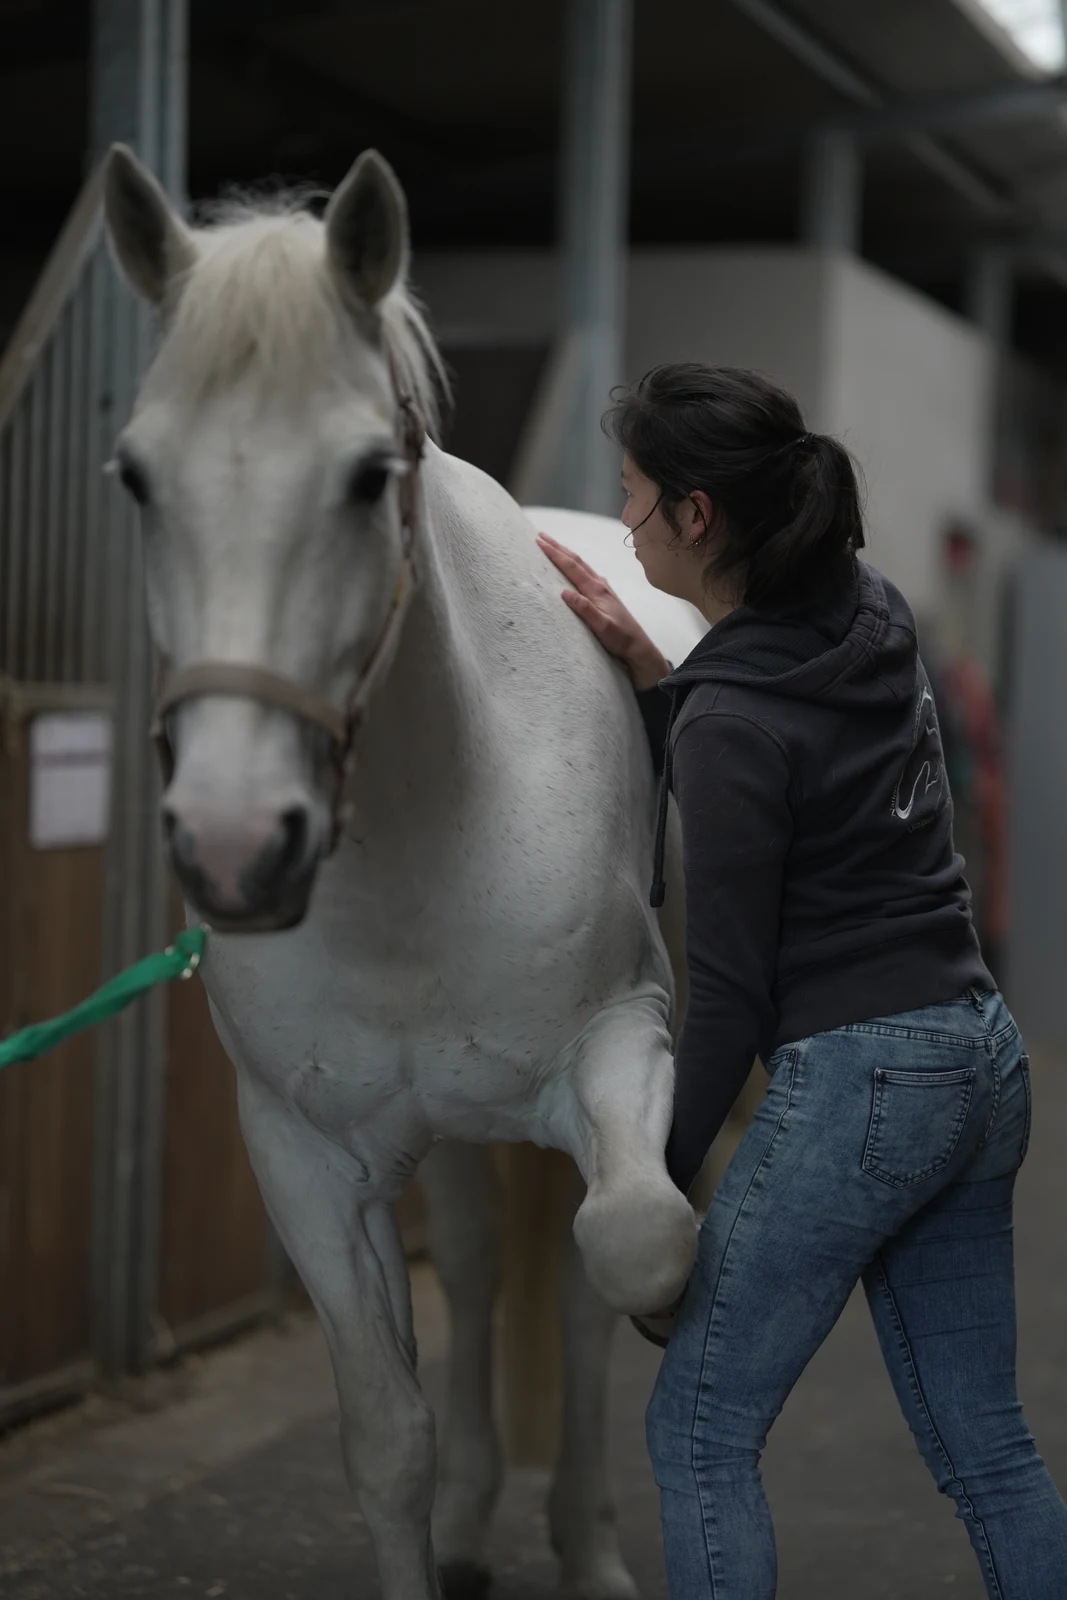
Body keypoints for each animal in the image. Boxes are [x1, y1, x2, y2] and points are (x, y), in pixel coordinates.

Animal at [102, 142, 705, 1600]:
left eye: (368, 474)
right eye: (138, 477)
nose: (234, 844)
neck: (430, 842)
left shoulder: (624, 1045)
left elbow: (633, 1242)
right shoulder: (308, 1157)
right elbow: (387, 1440)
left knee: (577, 1299)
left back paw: (586, 1545)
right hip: (452, 1144)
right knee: (486, 1274)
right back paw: (489, 1526)